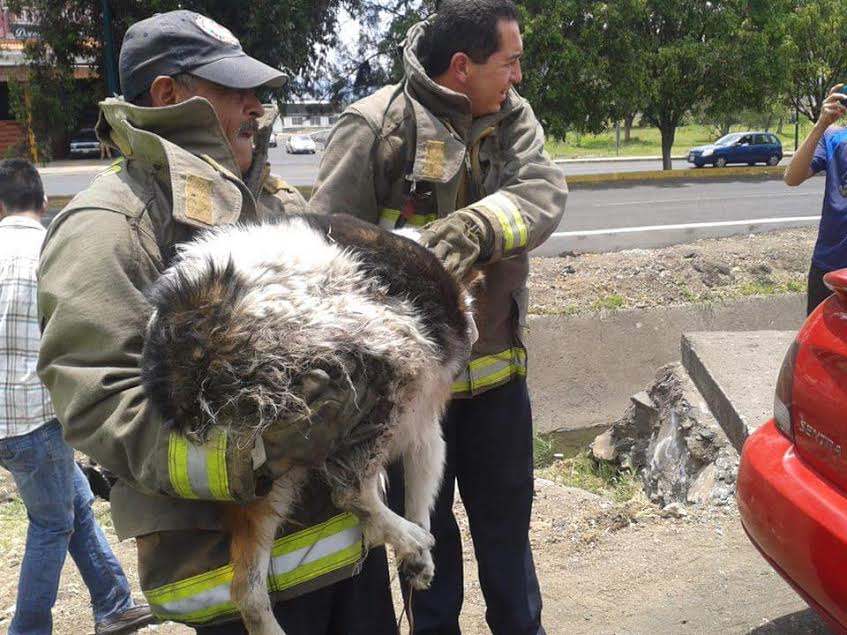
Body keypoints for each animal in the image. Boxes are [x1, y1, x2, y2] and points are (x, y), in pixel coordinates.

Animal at [142, 214, 480, 635]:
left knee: (246, 589)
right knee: (350, 493)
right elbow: (421, 490)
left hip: (262, 469)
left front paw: (414, 562)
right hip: (387, 358)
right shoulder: (424, 422)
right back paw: (409, 537)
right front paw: (415, 550)